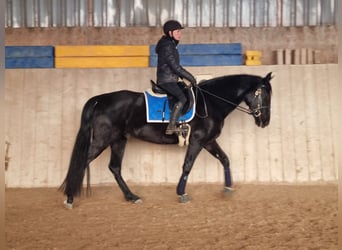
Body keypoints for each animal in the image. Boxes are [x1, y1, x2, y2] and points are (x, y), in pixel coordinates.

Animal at [58, 73, 272, 209]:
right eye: (264, 94)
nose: (265, 121)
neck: (210, 103)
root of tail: (100, 100)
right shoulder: (197, 140)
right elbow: (187, 166)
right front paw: (182, 193)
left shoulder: (208, 141)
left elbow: (225, 159)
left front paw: (227, 188)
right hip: (102, 140)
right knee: (82, 162)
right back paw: (69, 198)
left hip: (118, 140)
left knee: (114, 167)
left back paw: (132, 197)